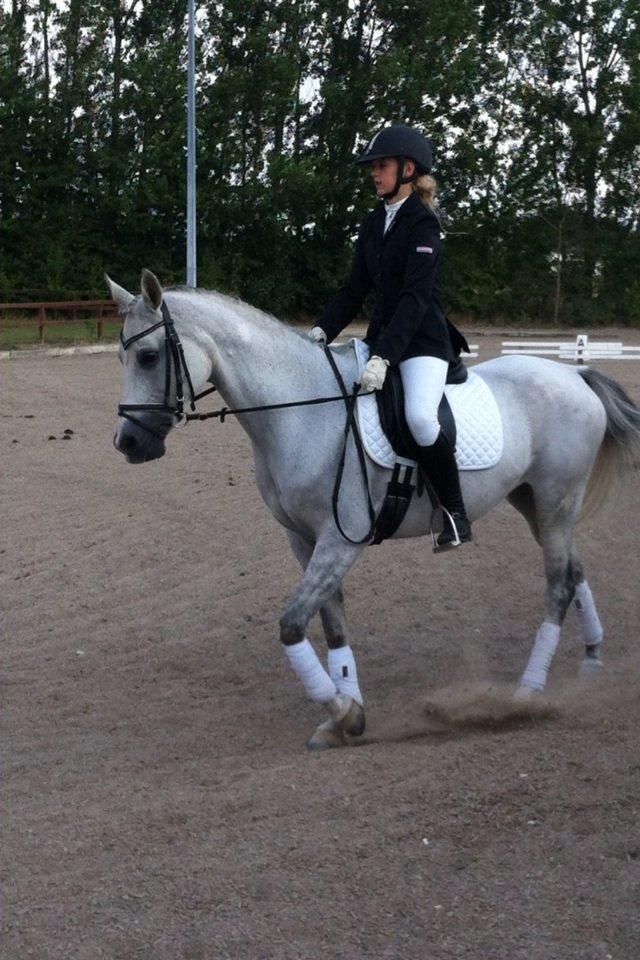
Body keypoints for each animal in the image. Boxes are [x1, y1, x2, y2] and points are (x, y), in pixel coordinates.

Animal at [110, 270, 640, 750]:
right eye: (121, 355)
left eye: (149, 356)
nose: (127, 442)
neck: (303, 413)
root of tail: (574, 374)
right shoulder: (303, 539)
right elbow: (331, 623)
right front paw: (346, 712)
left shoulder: (342, 539)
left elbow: (292, 623)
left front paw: (343, 711)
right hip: (534, 502)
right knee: (574, 571)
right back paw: (590, 664)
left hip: (555, 500)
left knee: (557, 586)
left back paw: (527, 694)